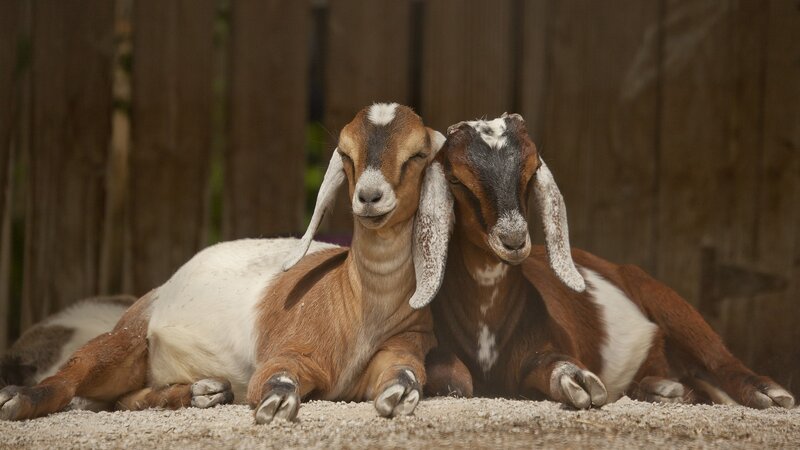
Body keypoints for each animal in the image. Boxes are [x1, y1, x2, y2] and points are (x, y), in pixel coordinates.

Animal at [0, 103, 454, 423]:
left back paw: (203, 391)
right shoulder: (286, 351)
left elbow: (404, 375)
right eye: (346, 152)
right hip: (124, 338)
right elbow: (276, 379)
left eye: (417, 154)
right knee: (74, 375)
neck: (358, 303)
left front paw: (400, 397)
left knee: (125, 399)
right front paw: (275, 404)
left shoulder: (403, 348)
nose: (370, 197)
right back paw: (16, 400)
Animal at [424, 113, 795, 410]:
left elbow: (552, 362)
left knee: (717, 357)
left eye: (532, 171)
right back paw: (664, 389)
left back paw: (767, 393)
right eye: (455, 179)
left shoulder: (549, 343)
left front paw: (575, 379)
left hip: (668, 302)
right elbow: (450, 375)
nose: (514, 241)